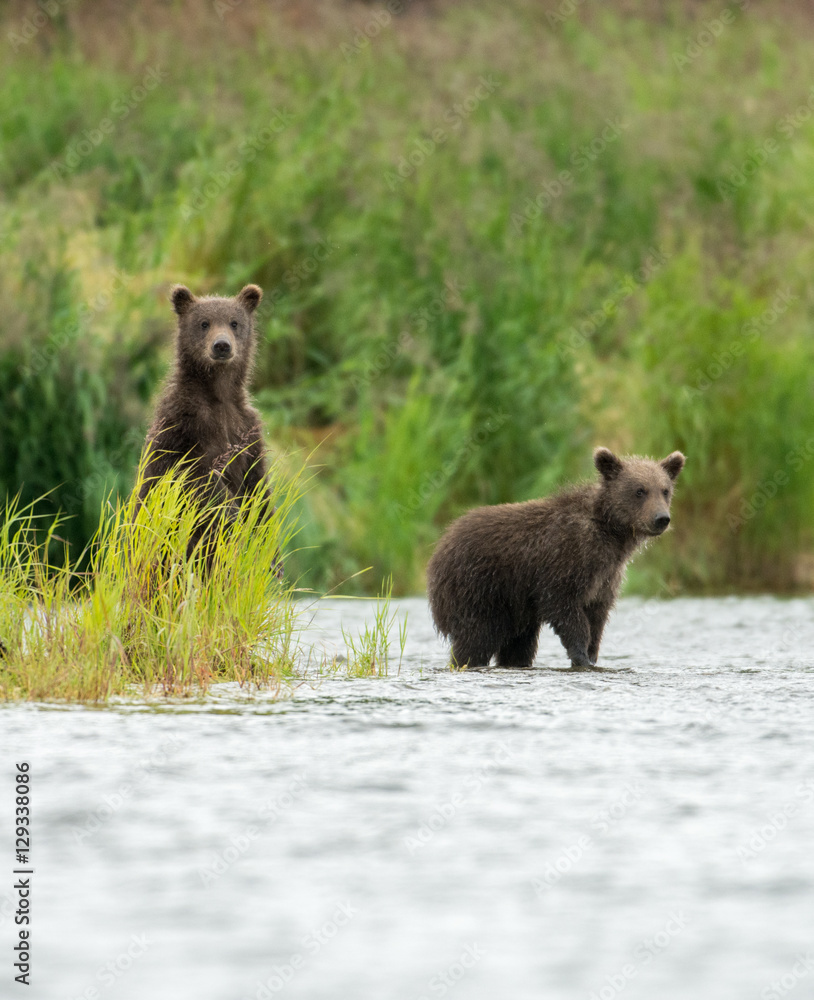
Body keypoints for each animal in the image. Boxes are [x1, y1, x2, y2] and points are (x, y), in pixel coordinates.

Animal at [138, 283, 281, 574]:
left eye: (234, 322)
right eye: (204, 323)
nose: (222, 345)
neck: (218, 394)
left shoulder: (246, 428)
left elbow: (258, 487)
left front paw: (274, 558)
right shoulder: (184, 424)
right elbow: (197, 477)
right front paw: (234, 516)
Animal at [426, 447, 685, 669]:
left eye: (665, 490)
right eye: (640, 490)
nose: (661, 518)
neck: (610, 535)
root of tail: (441, 544)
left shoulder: (606, 577)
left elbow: (597, 617)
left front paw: (592, 654)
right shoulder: (564, 562)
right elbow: (565, 609)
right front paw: (581, 656)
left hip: (515, 609)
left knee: (519, 644)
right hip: (479, 590)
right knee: (476, 639)